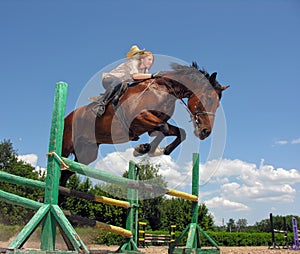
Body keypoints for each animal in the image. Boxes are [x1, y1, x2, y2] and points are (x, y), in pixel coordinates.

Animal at [61, 62, 230, 186]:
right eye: (208, 99)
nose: (206, 132)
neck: (164, 89)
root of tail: (67, 117)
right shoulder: (141, 117)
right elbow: (164, 127)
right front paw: (143, 149)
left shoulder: (153, 124)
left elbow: (179, 133)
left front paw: (152, 150)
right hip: (66, 145)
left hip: (87, 153)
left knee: (66, 173)